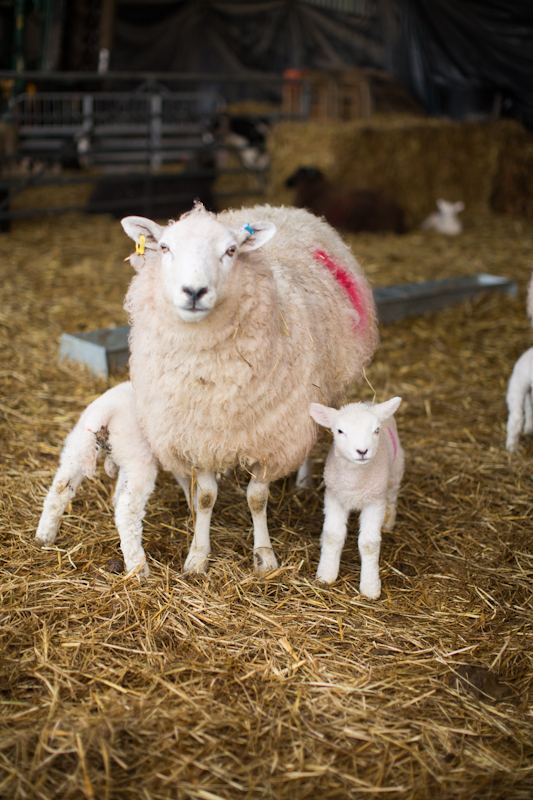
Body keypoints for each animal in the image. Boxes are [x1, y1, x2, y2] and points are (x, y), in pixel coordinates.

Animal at [35, 382, 189, 576]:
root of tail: (106, 409)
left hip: (76, 447)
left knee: (59, 490)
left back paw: (45, 536)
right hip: (139, 458)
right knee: (127, 512)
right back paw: (138, 568)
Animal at [120, 200, 378, 576]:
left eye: (230, 251)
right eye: (165, 247)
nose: (194, 292)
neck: (212, 378)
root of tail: (278, 208)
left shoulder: (272, 439)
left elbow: (257, 498)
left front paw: (264, 555)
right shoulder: (197, 435)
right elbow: (205, 498)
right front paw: (198, 556)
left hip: (313, 396)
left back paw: (303, 482)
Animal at [308, 396, 404, 596]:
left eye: (376, 430)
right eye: (340, 431)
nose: (362, 451)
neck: (354, 483)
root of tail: (367, 401)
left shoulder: (375, 501)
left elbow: (369, 544)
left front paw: (370, 587)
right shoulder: (334, 497)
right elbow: (333, 536)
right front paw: (325, 575)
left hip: (396, 469)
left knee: (392, 497)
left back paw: (389, 522)